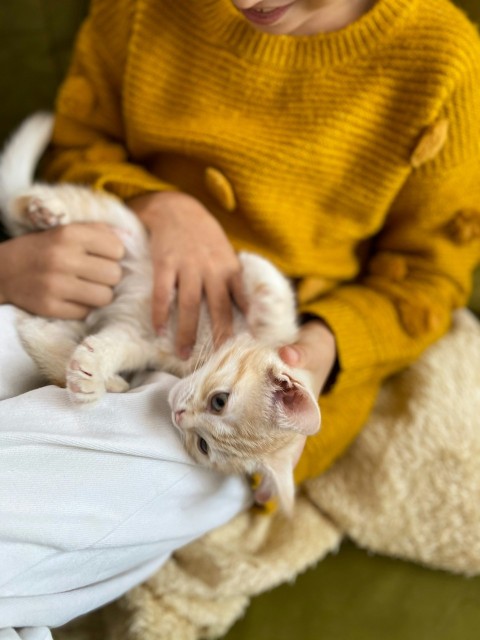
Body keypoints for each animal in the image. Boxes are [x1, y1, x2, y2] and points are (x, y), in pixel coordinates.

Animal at [1, 115, 322, 512]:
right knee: (24, 203)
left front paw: (91, 370)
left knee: (35, 328)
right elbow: (276, 313)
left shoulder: (142, 340)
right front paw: (253, 276)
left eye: (203, 445)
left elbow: (113, 346)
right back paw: (42, 210)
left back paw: (100, 380)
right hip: (115, 223)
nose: (179, 415)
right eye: (220, 401)